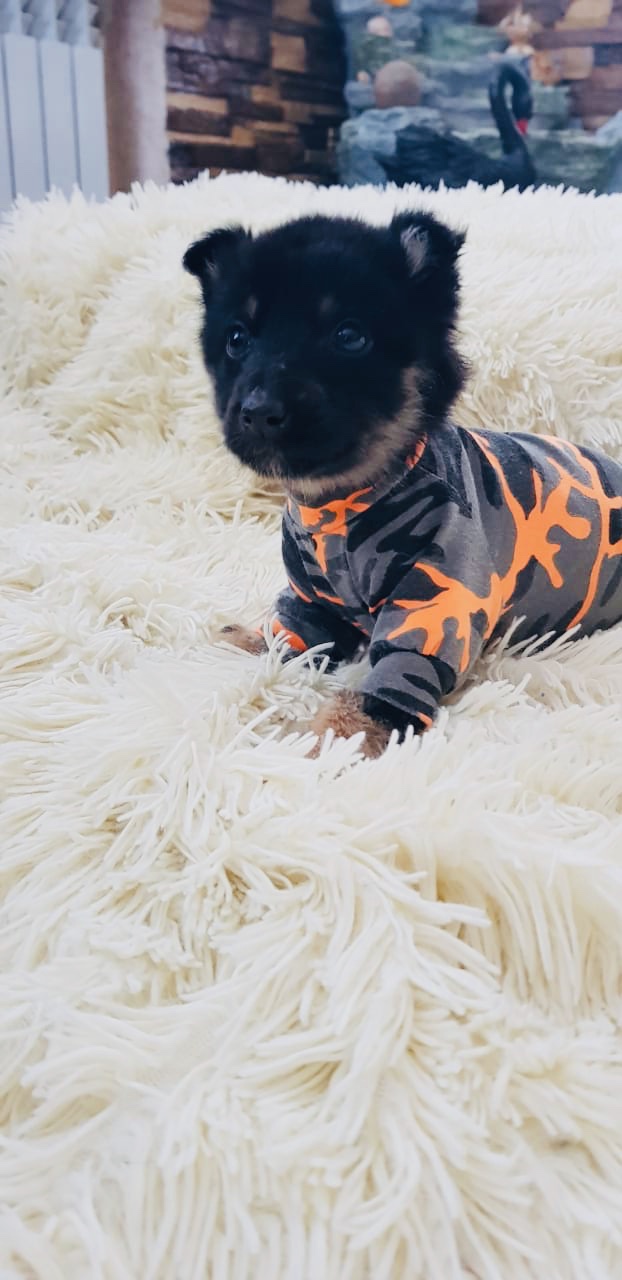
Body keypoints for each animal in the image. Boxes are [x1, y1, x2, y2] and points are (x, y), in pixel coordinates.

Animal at [184, 212, 622, 757]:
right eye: (237, 339)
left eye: (349, 337)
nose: (260, 411)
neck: (340, 506)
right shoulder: (310, 599)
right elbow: (289, 634)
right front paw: (248, 639)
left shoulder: (434, 609)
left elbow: (375, 699)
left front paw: (323, 742)